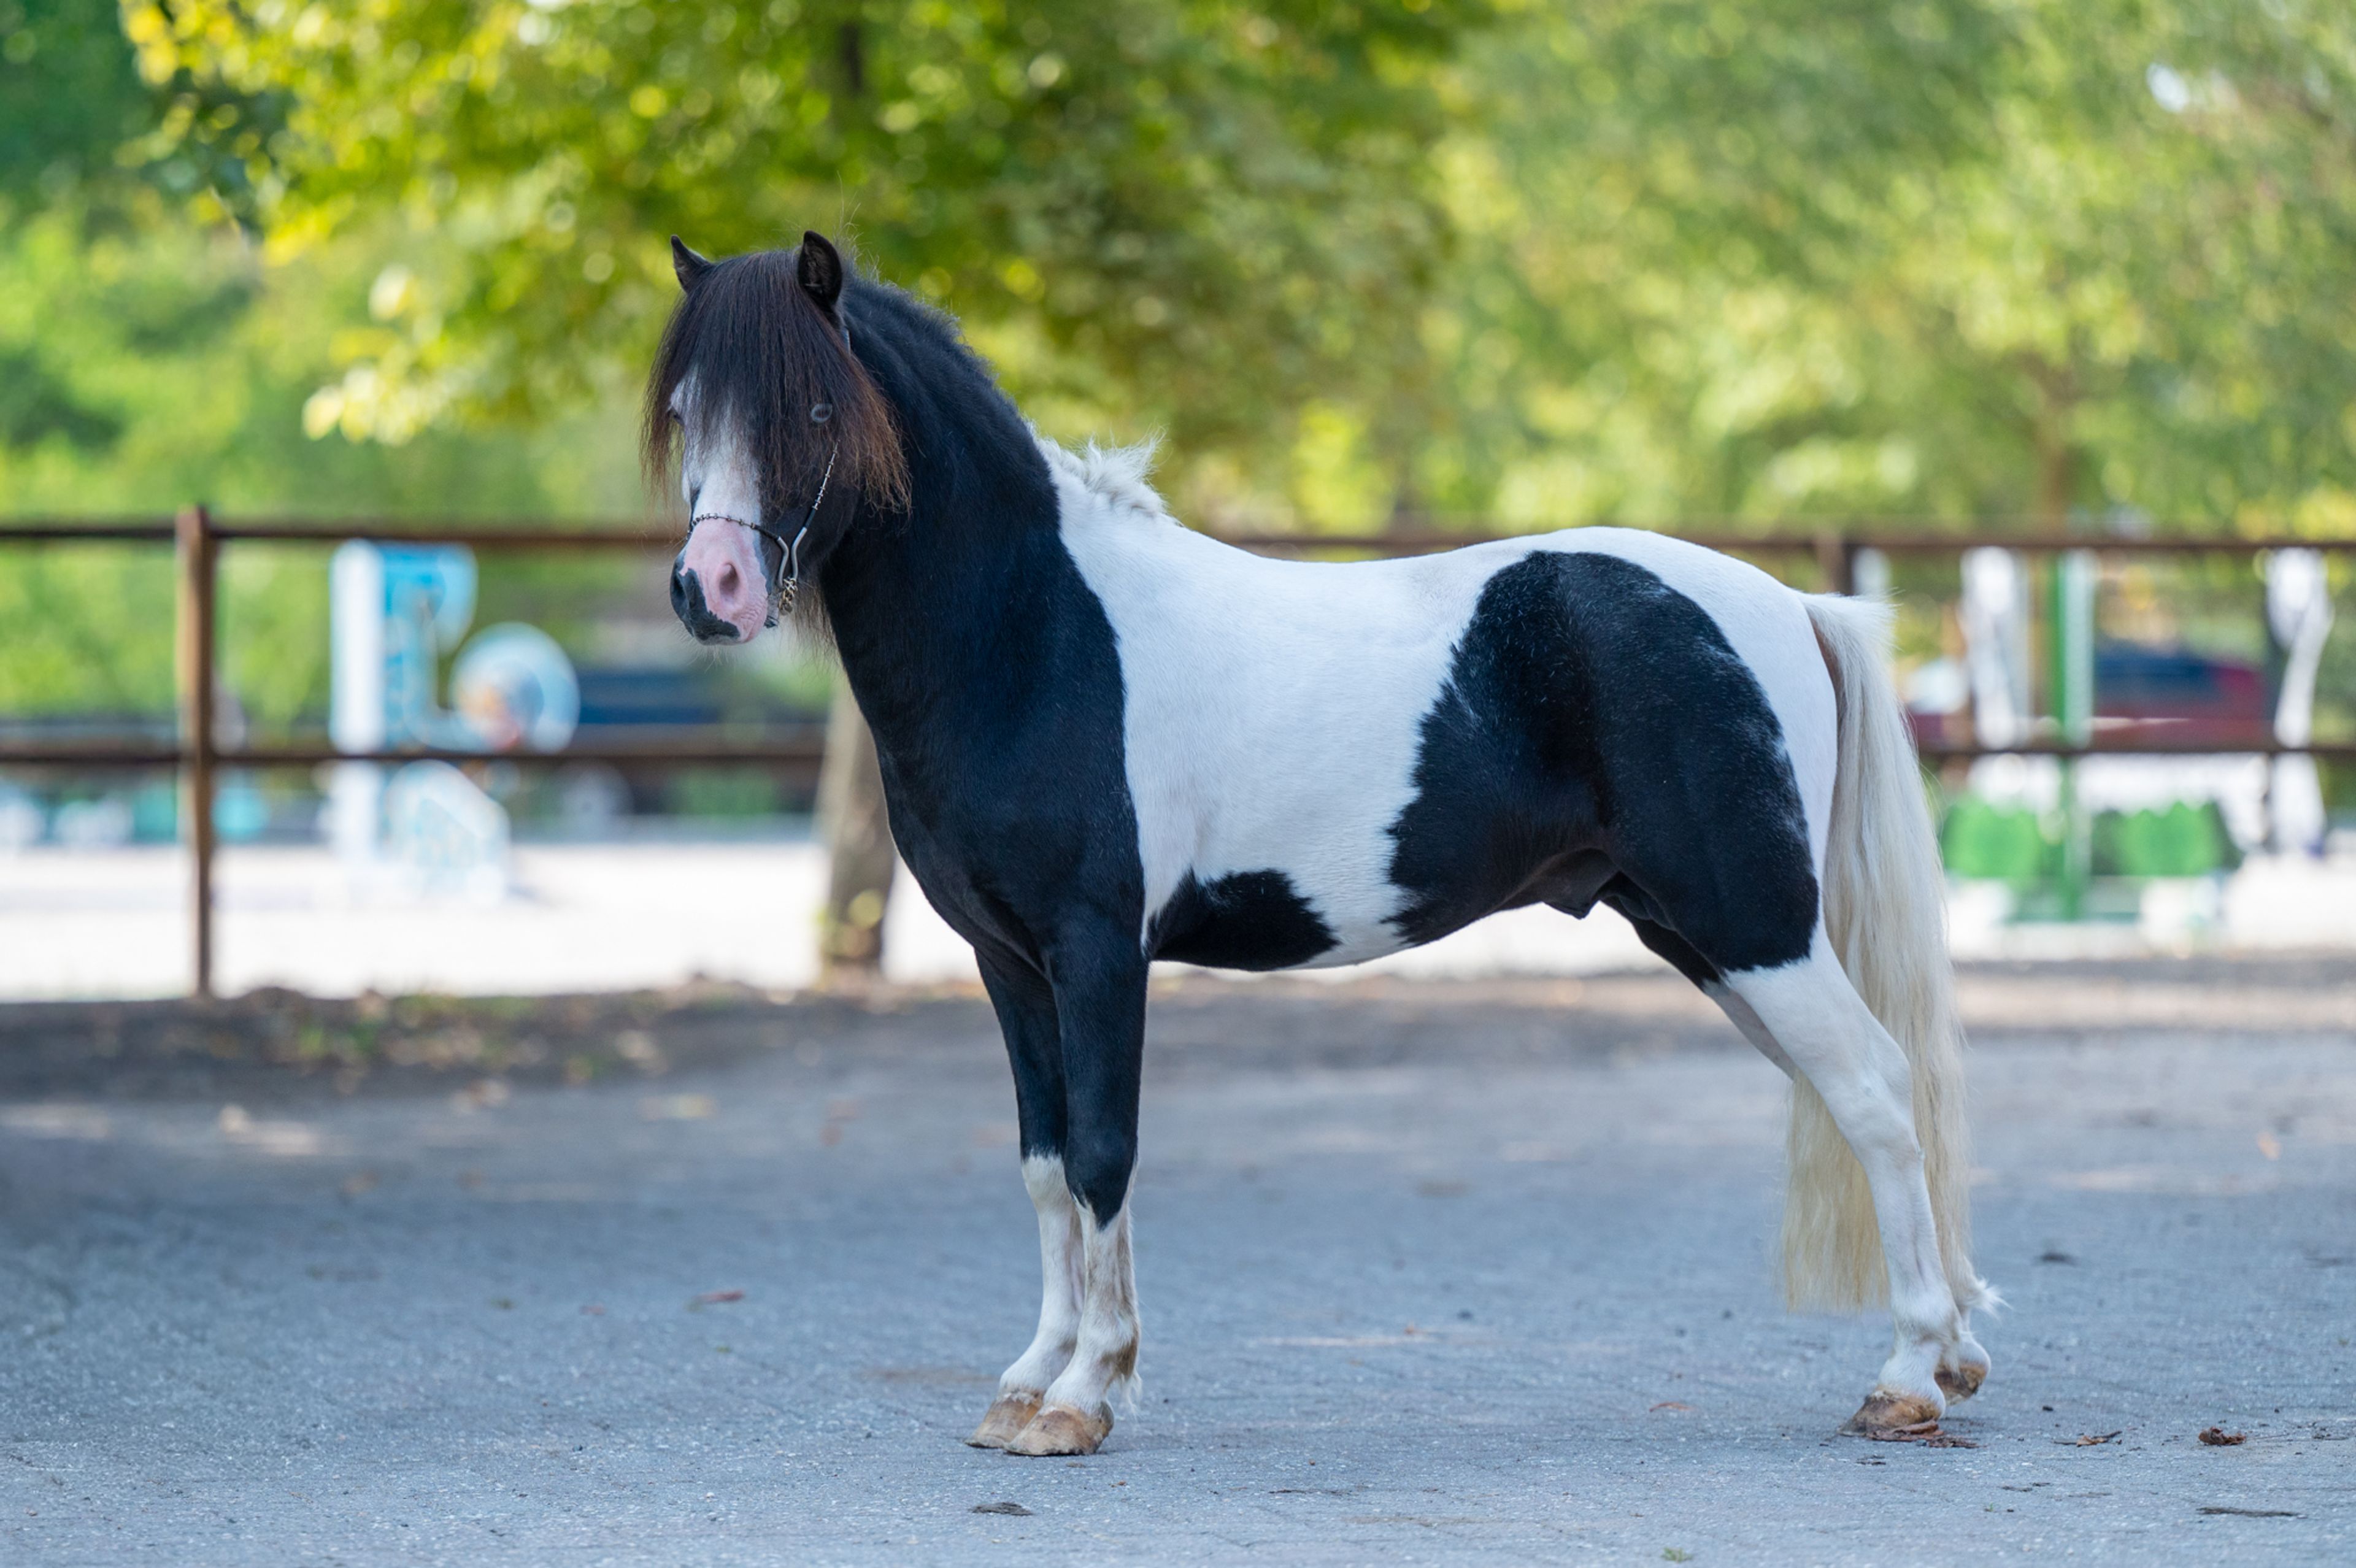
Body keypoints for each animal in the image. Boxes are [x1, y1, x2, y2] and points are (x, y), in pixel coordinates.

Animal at [651, 231, 1996, 1458]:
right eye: (682, 411)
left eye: (813, 405)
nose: (711, 590)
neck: (1033, 633)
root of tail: (1787, 606)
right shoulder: (1010, 963)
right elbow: (1043, 1164)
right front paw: (1029, 1383)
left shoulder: (1097, 953)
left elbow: (1102, 1154)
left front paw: (1087, 1392)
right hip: (1707, 940)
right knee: (1860, 1094)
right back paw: (1954, 1352)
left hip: (1755, 926)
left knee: (1875, 1091)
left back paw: (1908, 1379)